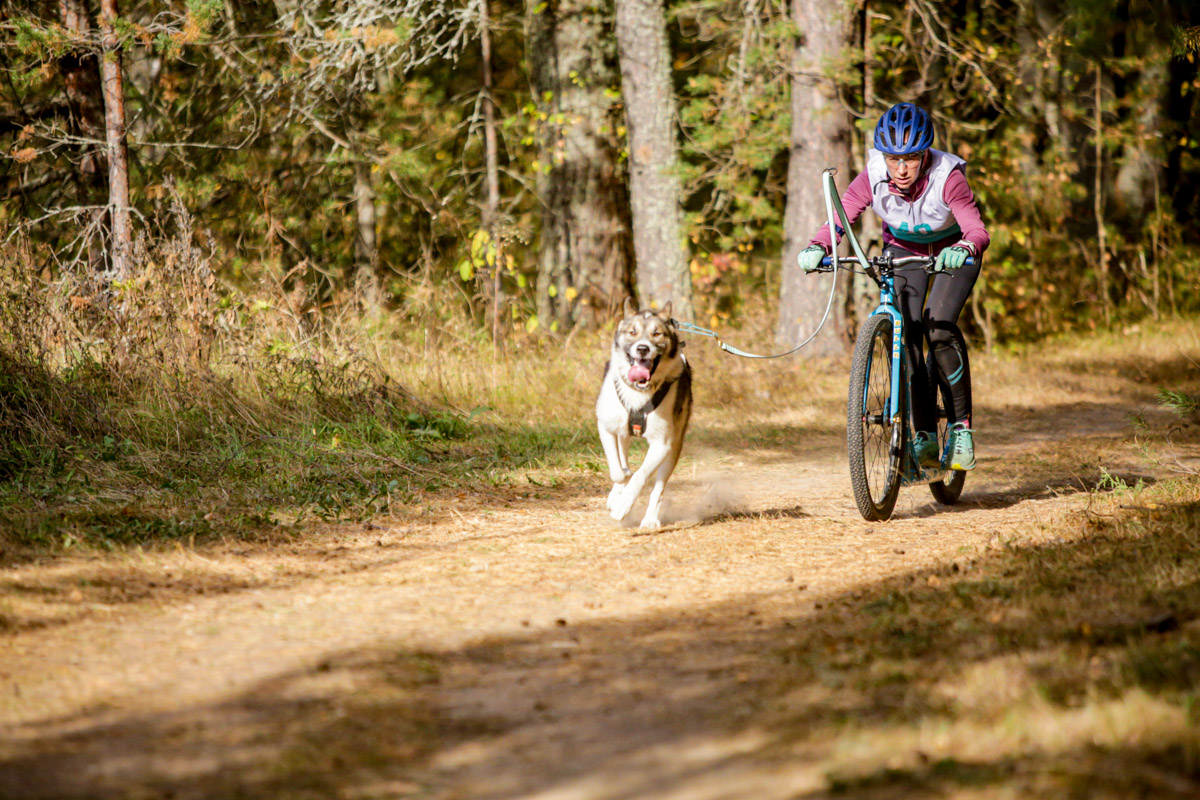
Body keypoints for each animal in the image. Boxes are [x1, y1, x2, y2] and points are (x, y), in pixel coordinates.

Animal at [592, 297, 691, 527]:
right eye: (632, 332)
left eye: (657, 334)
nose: (643, 348)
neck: (638, 392)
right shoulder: (606, 427)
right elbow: (618, 472)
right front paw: (617, 495)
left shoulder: (662, 445)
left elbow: (640, 476)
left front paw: (623, 506)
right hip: (622, 433)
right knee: (622, 459)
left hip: (673, 449)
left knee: (658, 488)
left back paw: (650, 519)